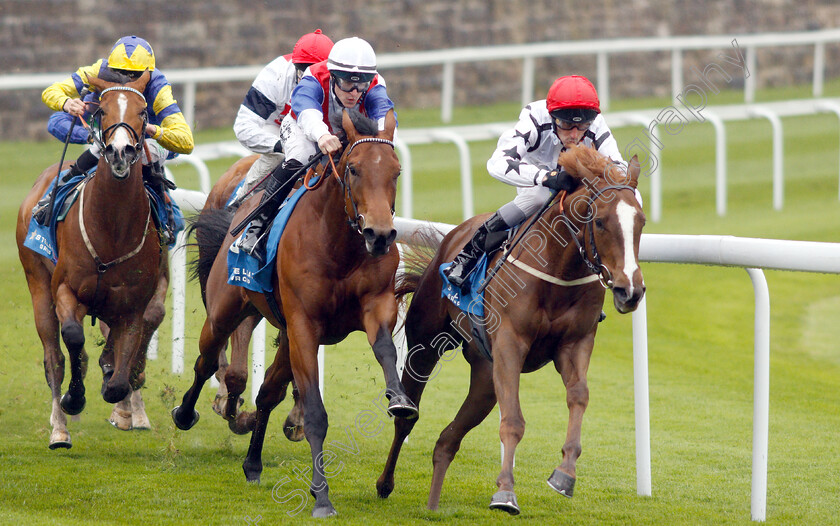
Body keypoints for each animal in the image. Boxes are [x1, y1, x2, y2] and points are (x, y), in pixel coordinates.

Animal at [15, 71, 169, 450]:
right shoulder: (66, 290)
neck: (111, 229)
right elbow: (72, 338)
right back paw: (60, 427)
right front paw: (74, 398)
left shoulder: (133, 303)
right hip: (37, 283)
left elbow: (119, 374)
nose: (120, 151)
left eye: (144, 112)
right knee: (54, 357)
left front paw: (121, 397)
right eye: (101, 110)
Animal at [173, 108, 416, 520]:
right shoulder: (304, 324)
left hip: (285, 334)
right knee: (206, 361)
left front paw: (399, 397)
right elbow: (316, 414)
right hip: (226, 309)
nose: (380, 234)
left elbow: (385, 348)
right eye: (353, 169)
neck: (340, 246)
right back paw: (186, 414)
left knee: (268, 392)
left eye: (396, 171)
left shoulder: (376, 304)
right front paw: (322, 498)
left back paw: (252, 463)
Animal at [378, 144, 648, 516]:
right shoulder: (510, 343)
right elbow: (513, 422)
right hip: (427, 342)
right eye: (600, 221)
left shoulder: (575, 343)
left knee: (447, 440)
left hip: (485, 375)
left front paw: (564, 474)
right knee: (408, 416)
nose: (629, 291)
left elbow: (579, 396)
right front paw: (505, 493)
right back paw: (385, 482)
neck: (559, 271)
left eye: (641, 222)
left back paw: (432, 505)